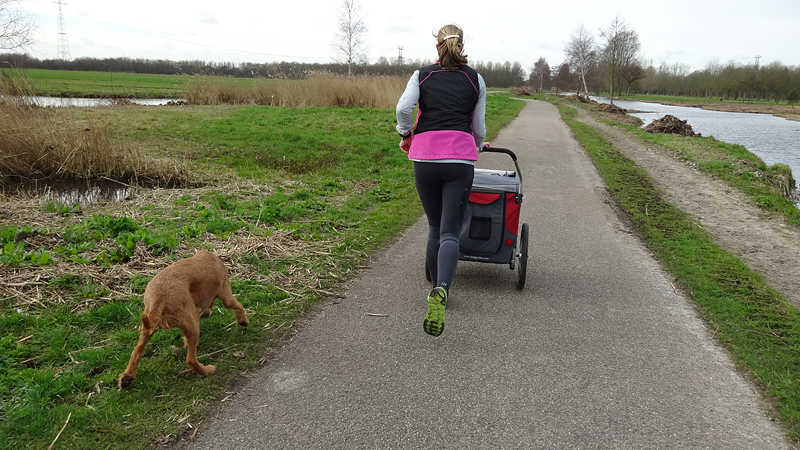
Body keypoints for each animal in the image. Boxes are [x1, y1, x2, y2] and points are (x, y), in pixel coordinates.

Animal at [118, 250, 249, 388]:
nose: (207, 313)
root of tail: (158, 298)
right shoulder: (226, 294)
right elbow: (238, 306)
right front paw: (243, 320)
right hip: (194, 326)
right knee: (191, 360)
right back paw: (207, 370)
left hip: (147, 329)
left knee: (136, 352)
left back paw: (127, 377)